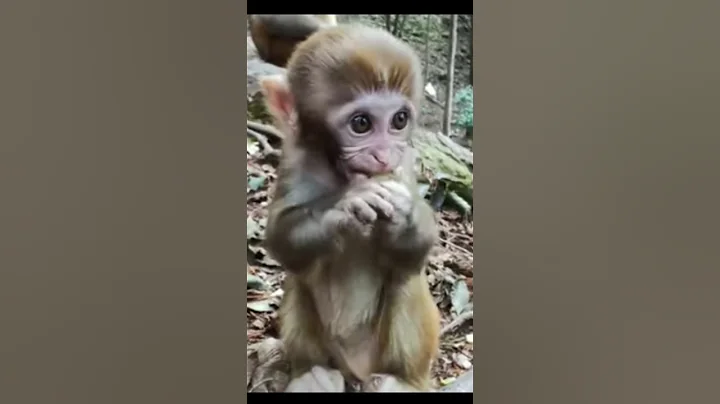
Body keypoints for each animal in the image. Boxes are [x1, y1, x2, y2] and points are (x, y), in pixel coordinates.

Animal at [260, 24, 441, 392]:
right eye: (361, 124)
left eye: (400, 119)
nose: (383, 155)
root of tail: (356, 370)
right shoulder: (296, 158)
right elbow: (281, 240)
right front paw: (345, 205)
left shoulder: (404, 163)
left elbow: (416, 253)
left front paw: (406, 214)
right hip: (334, 353)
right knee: (300, 280)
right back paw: (312, 374)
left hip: (382, 357)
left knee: (404, 276)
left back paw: (402, 382)